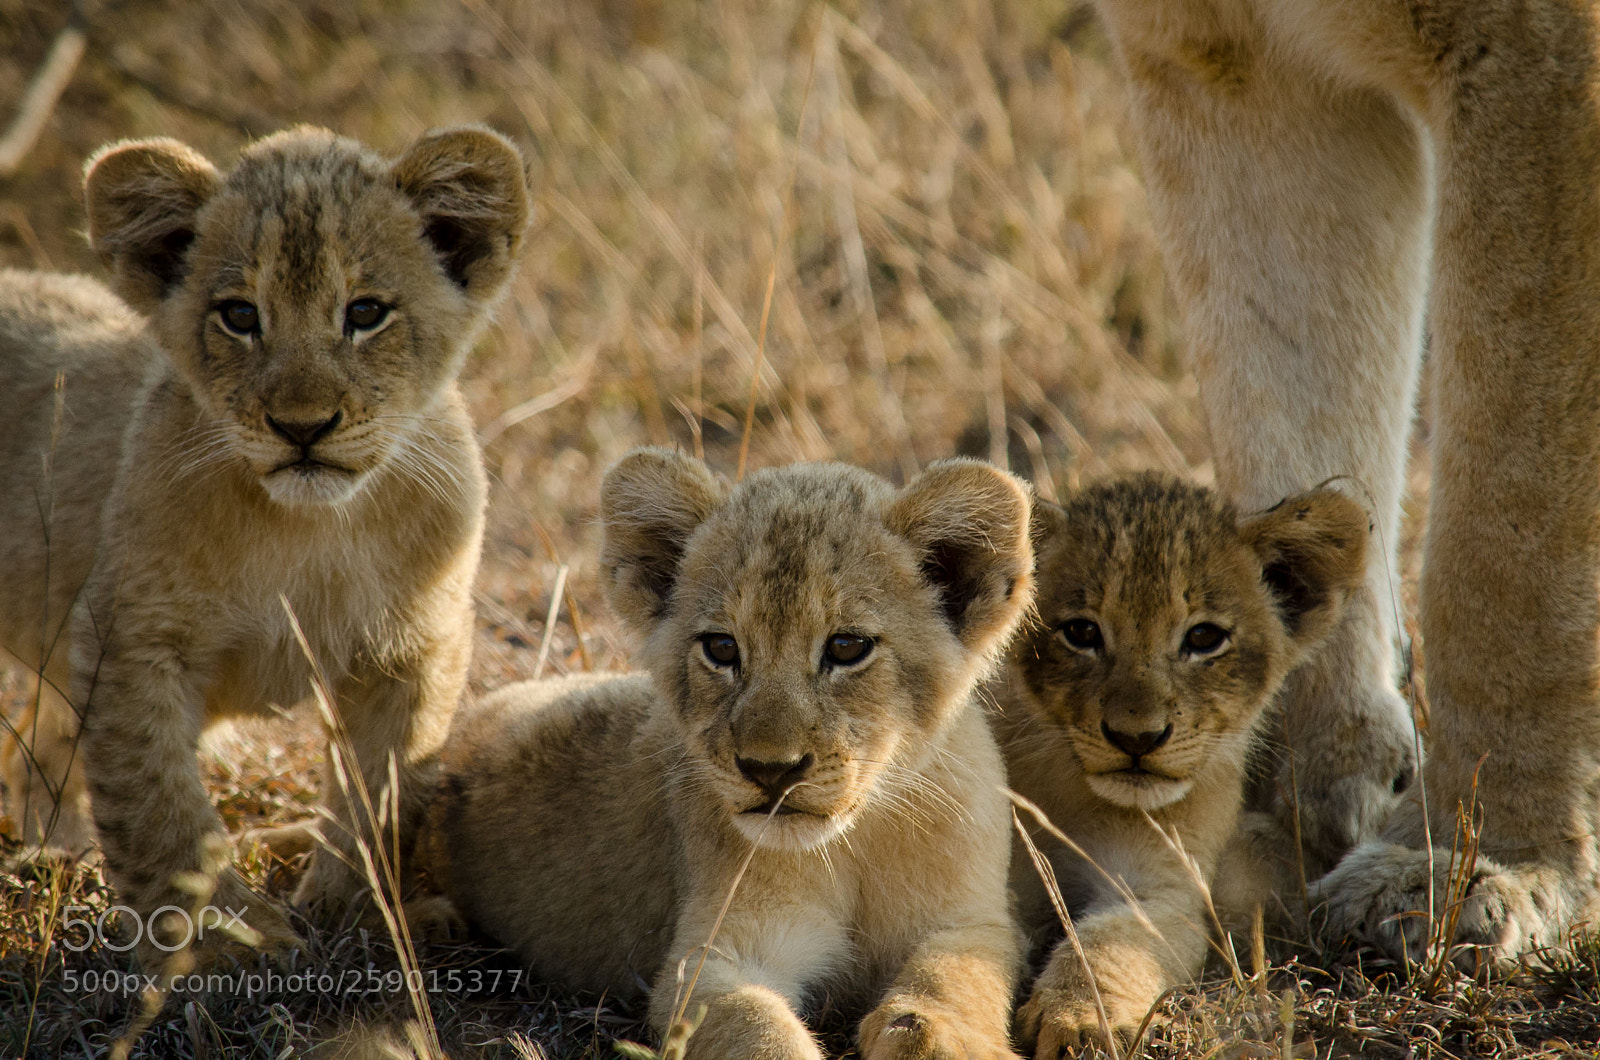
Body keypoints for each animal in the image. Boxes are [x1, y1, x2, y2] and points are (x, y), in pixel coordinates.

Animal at [0, 124, 530, 966]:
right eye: (240, 315)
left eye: (366, 311)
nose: (302, 426)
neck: (307, 531)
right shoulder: (128, 638)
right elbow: (157, 800)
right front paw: (221, 939)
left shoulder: (416, 648)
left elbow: (381, 788)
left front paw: (359, 914)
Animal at [422, 448, 1034, 1060]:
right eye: (721, 648)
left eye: (847, 647)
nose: (772, 770)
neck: (853, 842)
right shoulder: (708, 959)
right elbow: (758, 1031)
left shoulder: (971, 922)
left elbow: (946, 989)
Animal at [998, 473, 1368, 1053]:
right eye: (1081, 632)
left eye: (1203, 638)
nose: (1137, 738)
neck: (1071, 788)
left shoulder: (1167, 886)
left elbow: (1111, 941)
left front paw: (1079, 1018)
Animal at [1088, 1, 1600, 963]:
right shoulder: (1238, 68)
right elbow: (1287, 430)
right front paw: (1302, 812)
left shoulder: (1547, 60)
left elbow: (1510, 536)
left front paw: (1479, 862)